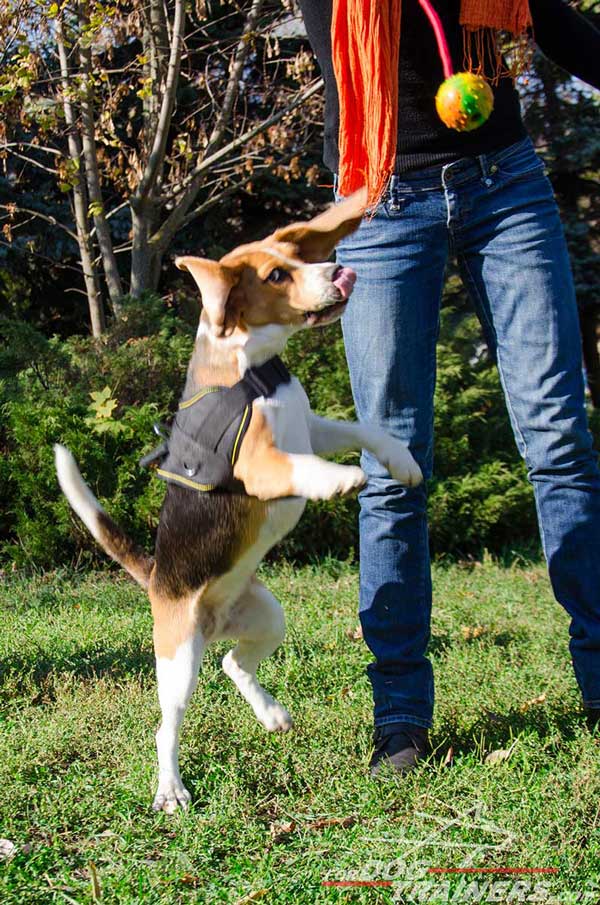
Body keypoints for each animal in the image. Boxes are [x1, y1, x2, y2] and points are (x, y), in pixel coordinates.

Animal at [55, 189, 422, 812]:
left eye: (295, 255)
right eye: (277, 274)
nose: (339, 272)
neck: (255, 368)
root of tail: (159, 579)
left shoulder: (311, 427)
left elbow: (364, 430)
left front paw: (401, 461)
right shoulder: (262, 464)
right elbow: (305, 467)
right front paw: (338, 480)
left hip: (266, 619)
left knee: (232, 662)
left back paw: (271, 712)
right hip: (179, 659)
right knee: (167, 727)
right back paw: (171, 790)